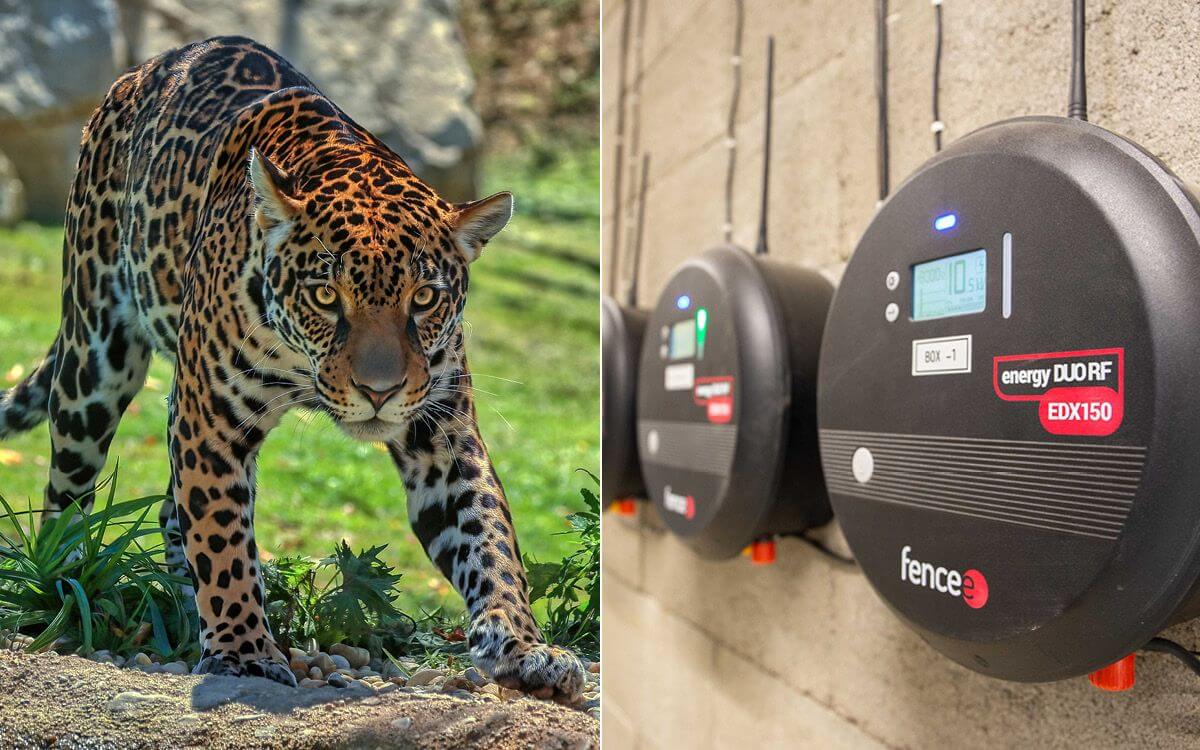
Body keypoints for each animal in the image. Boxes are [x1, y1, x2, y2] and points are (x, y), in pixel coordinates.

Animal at [0, 36, 585, 698]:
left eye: (424, 299)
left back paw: (180, 607)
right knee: (69, 498)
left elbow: (488, 536)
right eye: (326, 296)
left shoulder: (441, 431)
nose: (378, 391)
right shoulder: (211, 421)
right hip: (95, 361)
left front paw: (523, 645)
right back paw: (69, 587)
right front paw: (244, 651)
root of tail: (144, 69)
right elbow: (222, 539)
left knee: (172, 511)